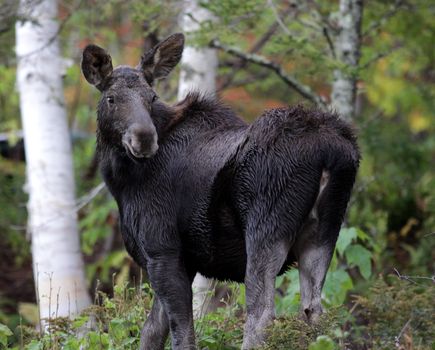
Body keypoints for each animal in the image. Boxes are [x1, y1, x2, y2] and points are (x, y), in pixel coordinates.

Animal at [82, 33, 362, 350]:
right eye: (111, 98)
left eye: (151, 97)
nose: (144, 138)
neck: (122, 184)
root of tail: (330, 153)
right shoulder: (183, 260)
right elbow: (152, 330)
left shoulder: (161, 249)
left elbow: (181, 333)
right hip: (324, 231)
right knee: (315, 311)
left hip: (265, 229)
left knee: (260, 315)